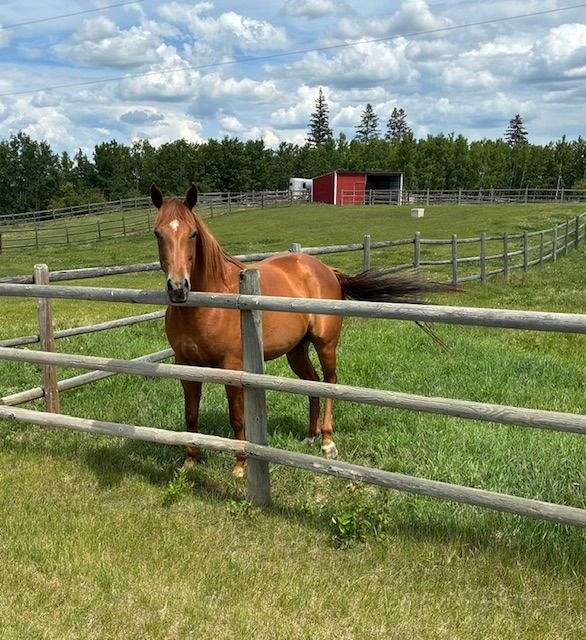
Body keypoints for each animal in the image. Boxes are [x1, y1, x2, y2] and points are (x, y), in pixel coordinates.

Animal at [152, 184, 449, 476]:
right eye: (157, 233)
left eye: (192, 234)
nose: (178, 288)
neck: (212, 301)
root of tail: (325, 269)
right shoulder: (185, 365)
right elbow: (191, 415)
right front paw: (189, 462)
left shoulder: (232, 367)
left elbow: (236, 418)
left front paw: (240, 466)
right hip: (296, 351)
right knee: (312, 383)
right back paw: (310, 435)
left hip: (326, 344)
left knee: (329, 382)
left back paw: (327, 442)